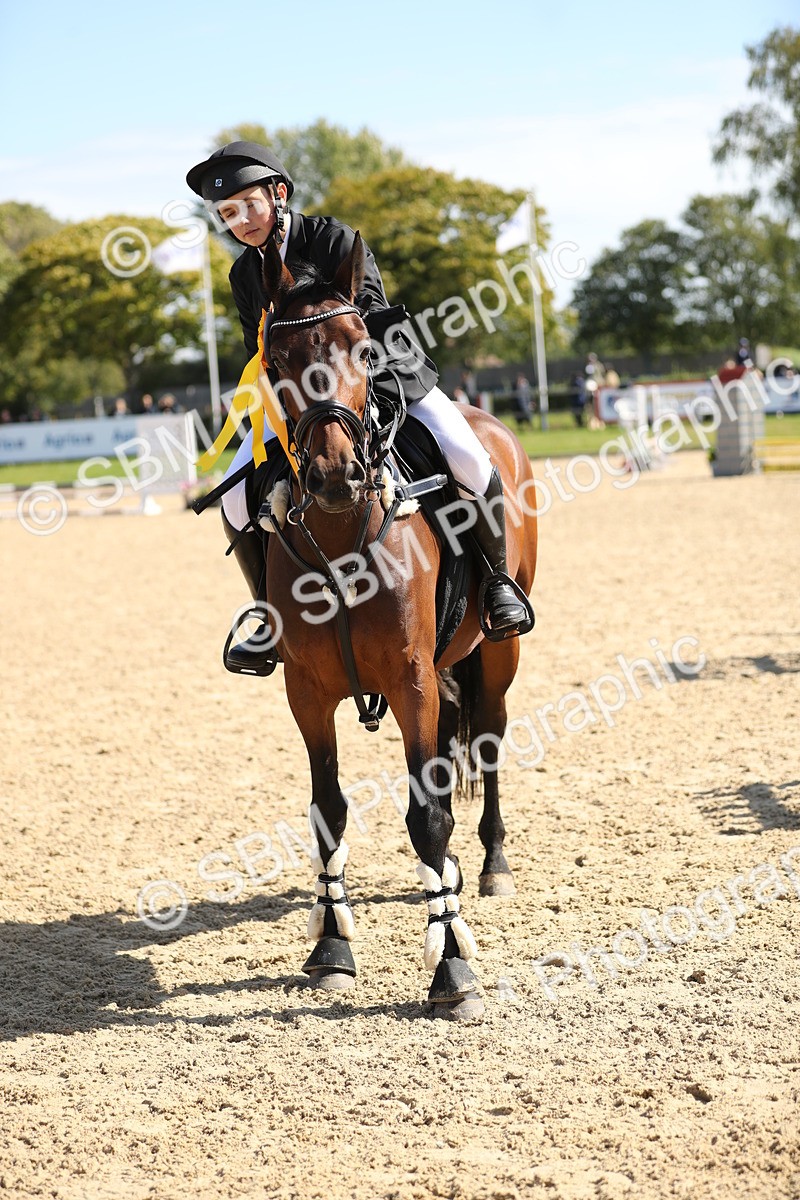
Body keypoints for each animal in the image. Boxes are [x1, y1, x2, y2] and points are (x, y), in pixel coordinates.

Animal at [256, 234, 538, 1020]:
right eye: (276, 359)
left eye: (364, 348)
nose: (334, 475)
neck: (342, 534)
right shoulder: (307, 692)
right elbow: (328, 810)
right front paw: (331, 946)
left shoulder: (412, 680)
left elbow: (428, 817)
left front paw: (452, 968)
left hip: (495, 656)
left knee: (490, 740)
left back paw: (492, 862)